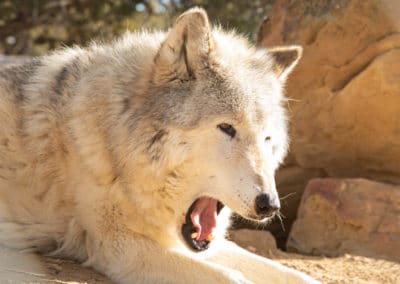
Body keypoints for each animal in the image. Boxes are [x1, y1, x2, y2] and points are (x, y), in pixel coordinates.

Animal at [0, 7, 318, 284]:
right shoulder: (117, 245)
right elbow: (233, 278)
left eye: (268, 138)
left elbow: (294, 274)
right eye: (227, 128)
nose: (269, 205)